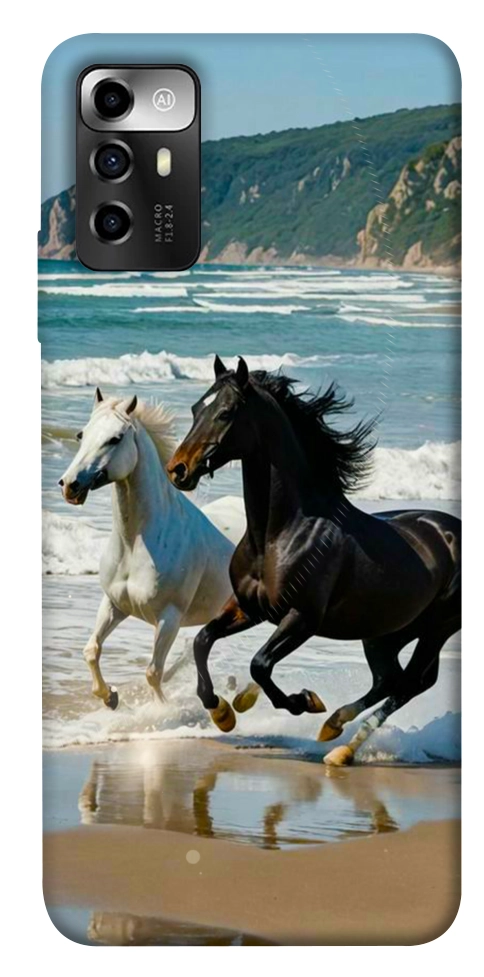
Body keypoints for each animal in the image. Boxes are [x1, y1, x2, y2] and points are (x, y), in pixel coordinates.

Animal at [59, 387, 234, 709]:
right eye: (81, 434)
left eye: (115, 438)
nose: (69, 485)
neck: (135, 544)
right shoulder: (114, 604)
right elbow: (91, 650)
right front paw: (110, 697)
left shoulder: (169, 618)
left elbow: (153, 672)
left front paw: (161, 711)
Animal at [166, 356, 461, 765]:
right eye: (197, 408)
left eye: (225, 413)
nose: (177, 469)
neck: (280, 534)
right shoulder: (248, 608)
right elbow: (202, 640)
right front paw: (223, 711)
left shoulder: (302, 618)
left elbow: (260, 664)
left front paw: (302, 701)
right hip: (386, 632)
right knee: (390, 679)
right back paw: (334, 729)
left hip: (437, 628)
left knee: (411, 683)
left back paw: (341, 746)